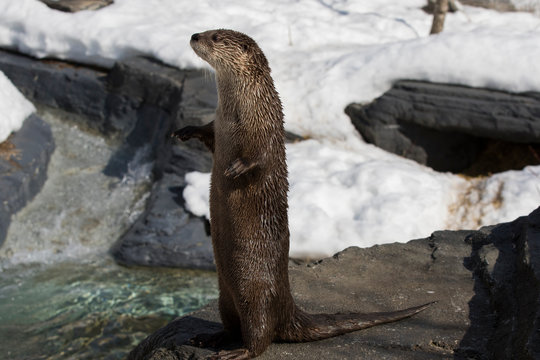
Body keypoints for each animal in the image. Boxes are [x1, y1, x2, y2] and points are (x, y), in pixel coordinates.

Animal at [173, 29, 434, 358]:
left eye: (216, 37)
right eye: (208, 30)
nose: (195, 35)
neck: (239, 113)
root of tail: (288, 305)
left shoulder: (268, 130)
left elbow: (260, 158)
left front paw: (235, 169)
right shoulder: (217, 126)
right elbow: (205, 132)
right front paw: (185, 130)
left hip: (256, 292)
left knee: (261, 333)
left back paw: (237, 351)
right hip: (224, 295)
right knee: (231, 325)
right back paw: (209, 338)